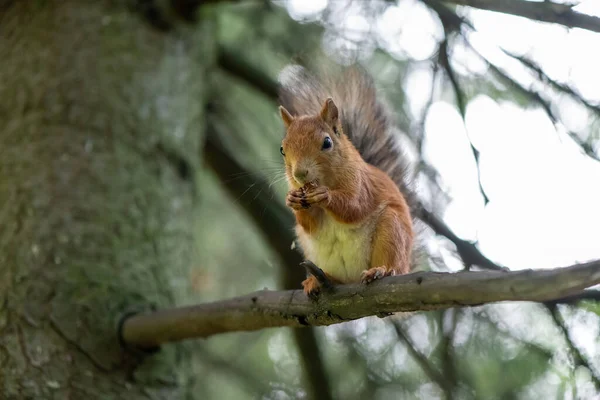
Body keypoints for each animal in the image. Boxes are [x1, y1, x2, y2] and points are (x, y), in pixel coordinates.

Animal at [278, 65, 414, 296]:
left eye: (327, 142)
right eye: (282, 149)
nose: (299, 174)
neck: (327, 179)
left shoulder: (361, 184)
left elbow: (354, 207)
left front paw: (325, 196)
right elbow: (310, 224)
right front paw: (292, 199)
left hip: (392, 231)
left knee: (391, 263)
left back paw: (379, 271)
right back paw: (317, 281)